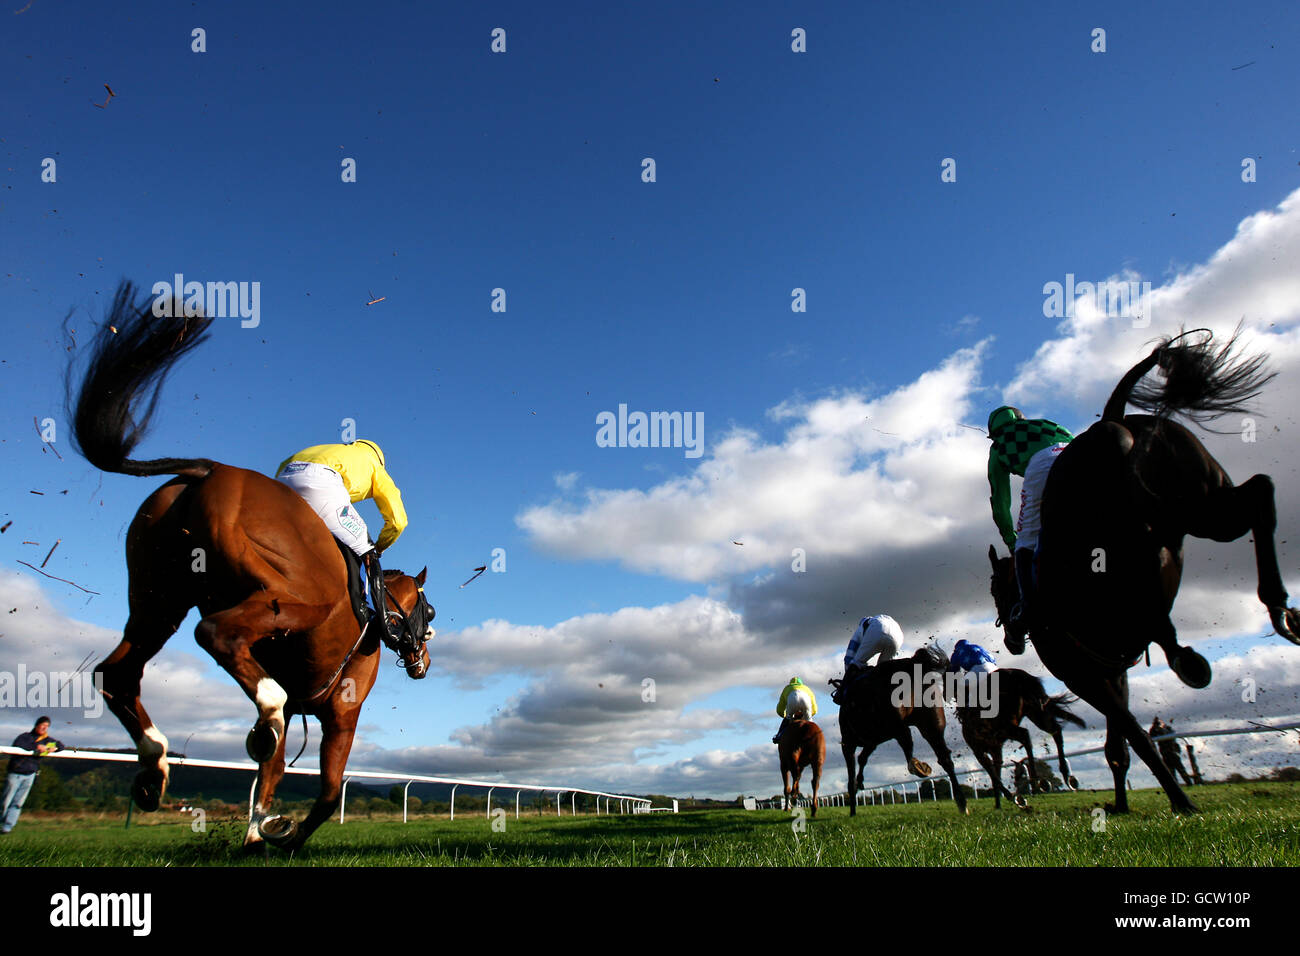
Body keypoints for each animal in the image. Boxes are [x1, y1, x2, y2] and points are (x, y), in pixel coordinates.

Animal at [68, 282, 434, 853]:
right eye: (430, 614)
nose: (423, 662)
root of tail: (209, 469)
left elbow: (275, 773)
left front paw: (260, 831)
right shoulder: (344, 708)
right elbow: (327, 790)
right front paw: (285, 835)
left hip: (157, 599)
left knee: (119, 672)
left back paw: (154, 770)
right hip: (292, 600)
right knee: (218, 636)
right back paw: (259, 718)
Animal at [842, 642, 967, 816]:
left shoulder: (849, 743)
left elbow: (852, 772)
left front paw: (853, 805)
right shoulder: (873, 740)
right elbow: (862, 758)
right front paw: (860, 783)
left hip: (895, 721)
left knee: (906, 739)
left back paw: (917, 766)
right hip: (932, 724)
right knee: (944, 757)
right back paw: (961, 801)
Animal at [956, 671, 1086, 811]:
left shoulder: (979, 751)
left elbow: (993, 775)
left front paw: (1010, 796)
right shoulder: (996, 750)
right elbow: (996, 774)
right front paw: (998, 804)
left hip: (1008, 725)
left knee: (1025, 735)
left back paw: (1036, 783)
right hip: (1036, 713)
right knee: (1055, 730)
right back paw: (1062, 775)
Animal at [987, 329, 1294, 816]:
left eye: (996, 589)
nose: (1012, 637)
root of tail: (1112, 424)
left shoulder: (1085, 675)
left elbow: (1132, 735)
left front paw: (1179, 800)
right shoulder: (1115, 672)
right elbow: (1119, 745)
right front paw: (1123, 803)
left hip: (1146, 528)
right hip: (1202, 502)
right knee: (1260, 492)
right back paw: (1278, 610)